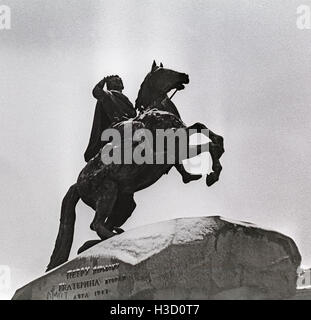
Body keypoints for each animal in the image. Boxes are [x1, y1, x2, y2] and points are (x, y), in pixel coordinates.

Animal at [46, 61, 224, 272]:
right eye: (165, 71)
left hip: (124, 202)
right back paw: (119, 242)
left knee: (102, 225)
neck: (155, 112)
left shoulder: (180, 137)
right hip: (108, 192)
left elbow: (202, 128)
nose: (185, 76)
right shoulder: (176, 146)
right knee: (96, 224)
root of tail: (77, 183)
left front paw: (213, 161)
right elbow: (205, 143)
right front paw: (213, 172)